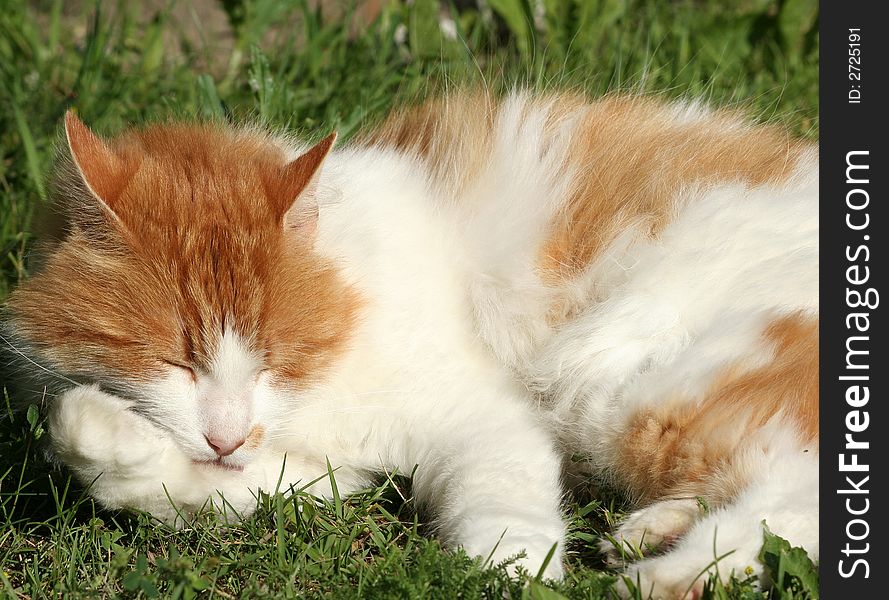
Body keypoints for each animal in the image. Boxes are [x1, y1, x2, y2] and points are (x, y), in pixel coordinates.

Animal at [3, 91, 816, 596]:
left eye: (274, 358)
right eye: (175, 360)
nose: (227, 434)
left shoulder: (486, 416)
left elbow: (503, 505)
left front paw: (512, 573)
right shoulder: (316, 469)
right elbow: (183, 487)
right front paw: (97, 439)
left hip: (626, 382)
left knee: (789, 491)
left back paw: (673, 575)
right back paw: (655, 531)